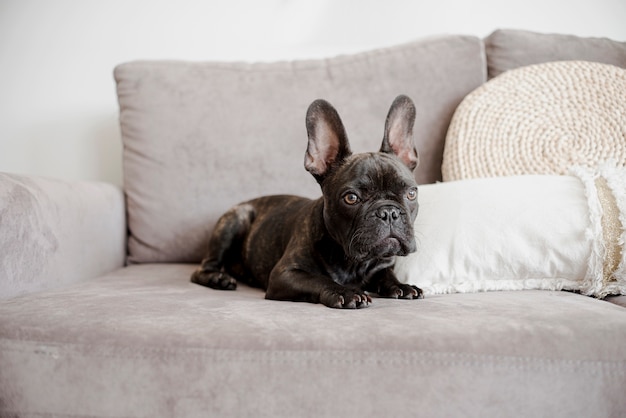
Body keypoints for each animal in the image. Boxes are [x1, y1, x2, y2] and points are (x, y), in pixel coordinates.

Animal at [190, 96, 422, 308]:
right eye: (351, 198)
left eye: (411, 193)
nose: (389, 212)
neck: (353, 262)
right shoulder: (285, 274)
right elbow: (319, 279)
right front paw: (345, 292)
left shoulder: (382, 264)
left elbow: (386, 275)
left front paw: (402, 286)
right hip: (236, 219)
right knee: (202, 269)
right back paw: (218, 278)